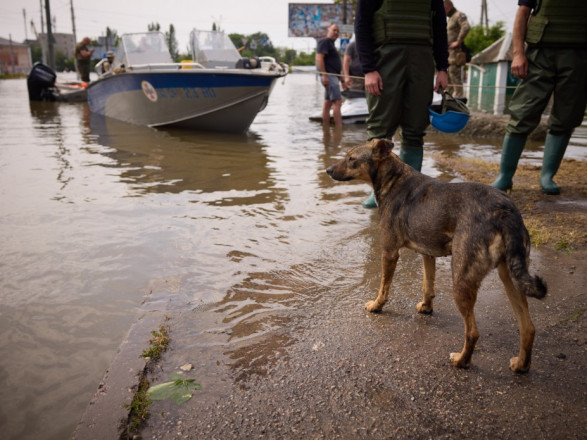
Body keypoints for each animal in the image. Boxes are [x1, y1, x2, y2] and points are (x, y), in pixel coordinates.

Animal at [326, 139, 548, 372]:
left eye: (351, 159)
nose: (327, 170)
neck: (394, 178)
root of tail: (505, 211)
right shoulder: (427, 253)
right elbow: (427, 285)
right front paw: (426, 307)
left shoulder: (389, 252)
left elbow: (384, 286)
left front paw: (376, 306)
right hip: (510, 277)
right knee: (528, 328)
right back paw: (521, 365)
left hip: (461, 279)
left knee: (473, 331)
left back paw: (461, 361)